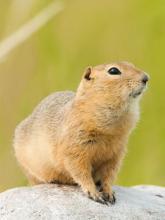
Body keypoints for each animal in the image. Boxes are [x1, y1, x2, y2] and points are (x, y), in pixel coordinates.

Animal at [13, 61, 149, 205]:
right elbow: (81, 171)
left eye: (131, 64)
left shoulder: (116, 153)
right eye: (113, 71)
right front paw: (94, 193)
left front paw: (108, 192)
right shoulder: (75, 147)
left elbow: (109, 174)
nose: (146, 78)